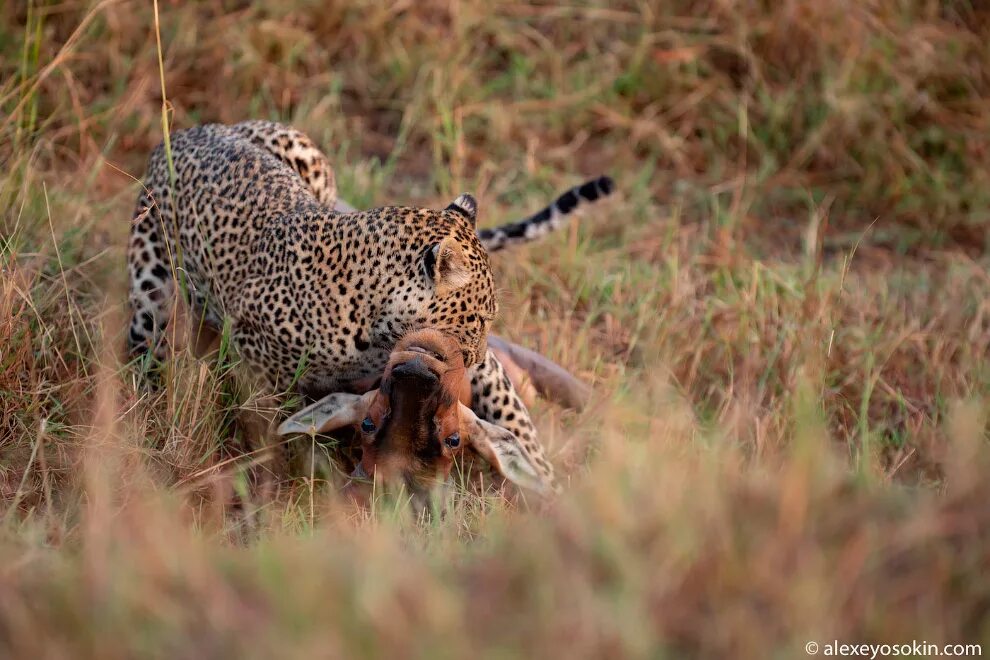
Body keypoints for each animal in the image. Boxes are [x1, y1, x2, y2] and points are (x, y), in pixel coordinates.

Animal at [128, 121, 616, 496]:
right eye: (478, 319)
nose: (479, 355)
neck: (375, 332)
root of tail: (188, 131)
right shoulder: (258, 366)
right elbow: (276, 431)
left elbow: (514, 418)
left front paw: (546, 478)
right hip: (150, 288)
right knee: (146, 348)